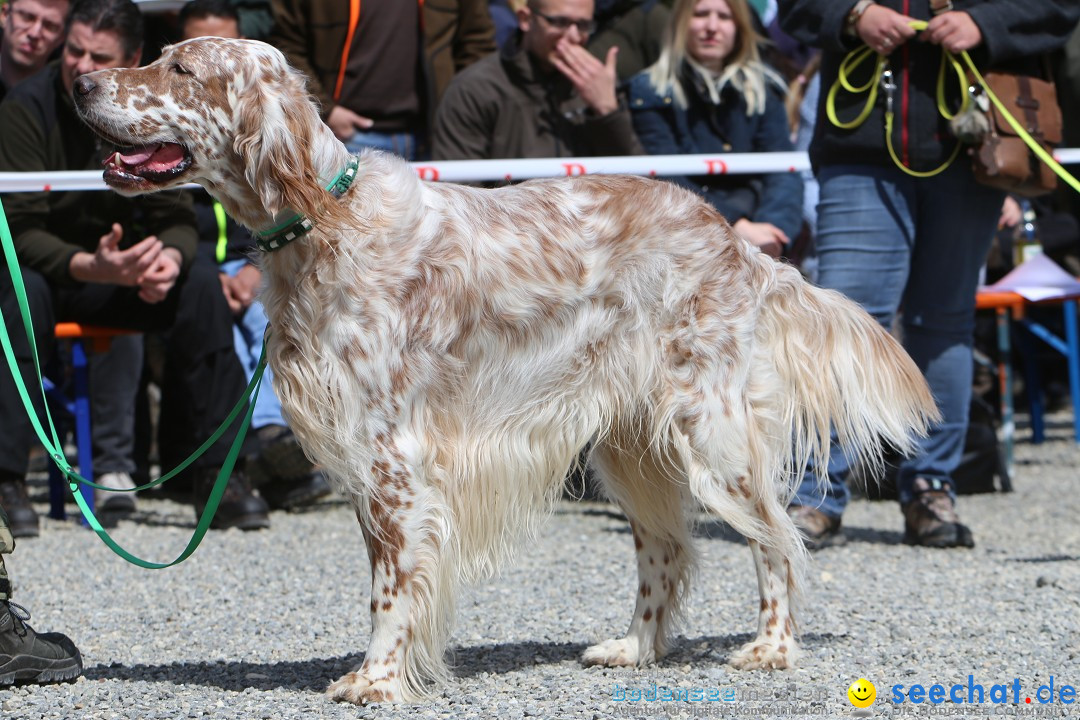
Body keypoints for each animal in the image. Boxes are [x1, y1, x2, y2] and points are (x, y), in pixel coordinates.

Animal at [76, 38, 937, 703]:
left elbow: (391, 588)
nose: (79, 82)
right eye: (157, 55)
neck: (326, 224)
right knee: (666, 551)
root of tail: (731, 237)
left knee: (775, 540)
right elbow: (392, 580)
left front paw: (377, 680)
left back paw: (773, 648)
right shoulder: (369, 465)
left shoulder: (396, 462)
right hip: (632, 450)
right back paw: (634, 647)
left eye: (181, 68)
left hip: (713, 436)